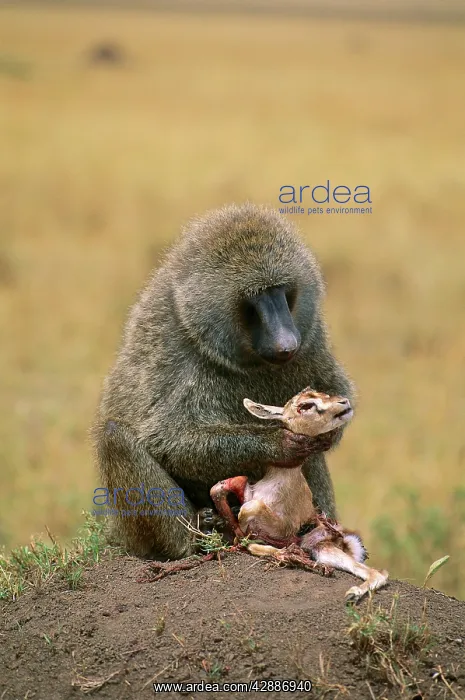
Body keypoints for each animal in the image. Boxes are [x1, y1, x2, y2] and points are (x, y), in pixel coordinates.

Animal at [92, 202, 354, 559]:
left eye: (281, 291)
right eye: (256, 298)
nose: (286, 344)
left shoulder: (310, 335)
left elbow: (335, 388)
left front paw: (332, 425)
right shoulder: (178, 351)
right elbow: (171, 439)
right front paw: (278, 443)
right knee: (114, 436)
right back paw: (196, 539)